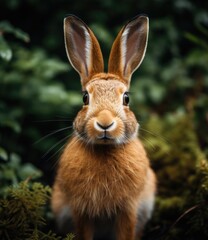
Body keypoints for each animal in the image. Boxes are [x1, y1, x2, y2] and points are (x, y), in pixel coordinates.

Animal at [51, 15, 156, 240]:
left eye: (126, 98)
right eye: (85, 97)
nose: (105, 123)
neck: (105, 150)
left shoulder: (129, 209)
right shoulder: (81, 210)